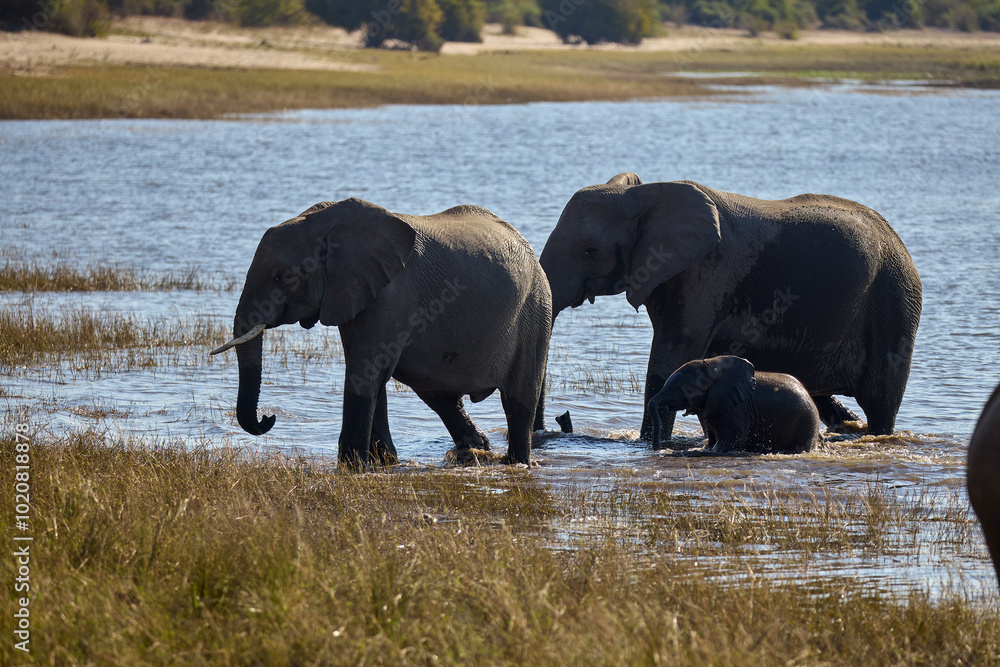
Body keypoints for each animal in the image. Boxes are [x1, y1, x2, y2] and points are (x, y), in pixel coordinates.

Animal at [210, 198, 552, 469]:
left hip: (536, 310)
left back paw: (516, 462)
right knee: (440, 396)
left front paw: (352, 467)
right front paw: (384, 463)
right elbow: (372, 374)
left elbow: (365, 372)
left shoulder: (391, 294)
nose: (268, 418)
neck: (327, 225)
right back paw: (477, 450)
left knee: (518, 400)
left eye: (282, 277)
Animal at [539, 173, 922, 443]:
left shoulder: (706, 271)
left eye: (590, 251)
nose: (560, 420)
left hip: (895, 300)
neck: (643, 195)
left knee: (880, 402)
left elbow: (667, 360)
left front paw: (649, 442)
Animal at [647, 356, 820, 454]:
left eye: (687, 389)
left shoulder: (737, 409)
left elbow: (732, 441)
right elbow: (713, 439)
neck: (713, 367)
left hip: (806, 423)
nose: (657, 448)